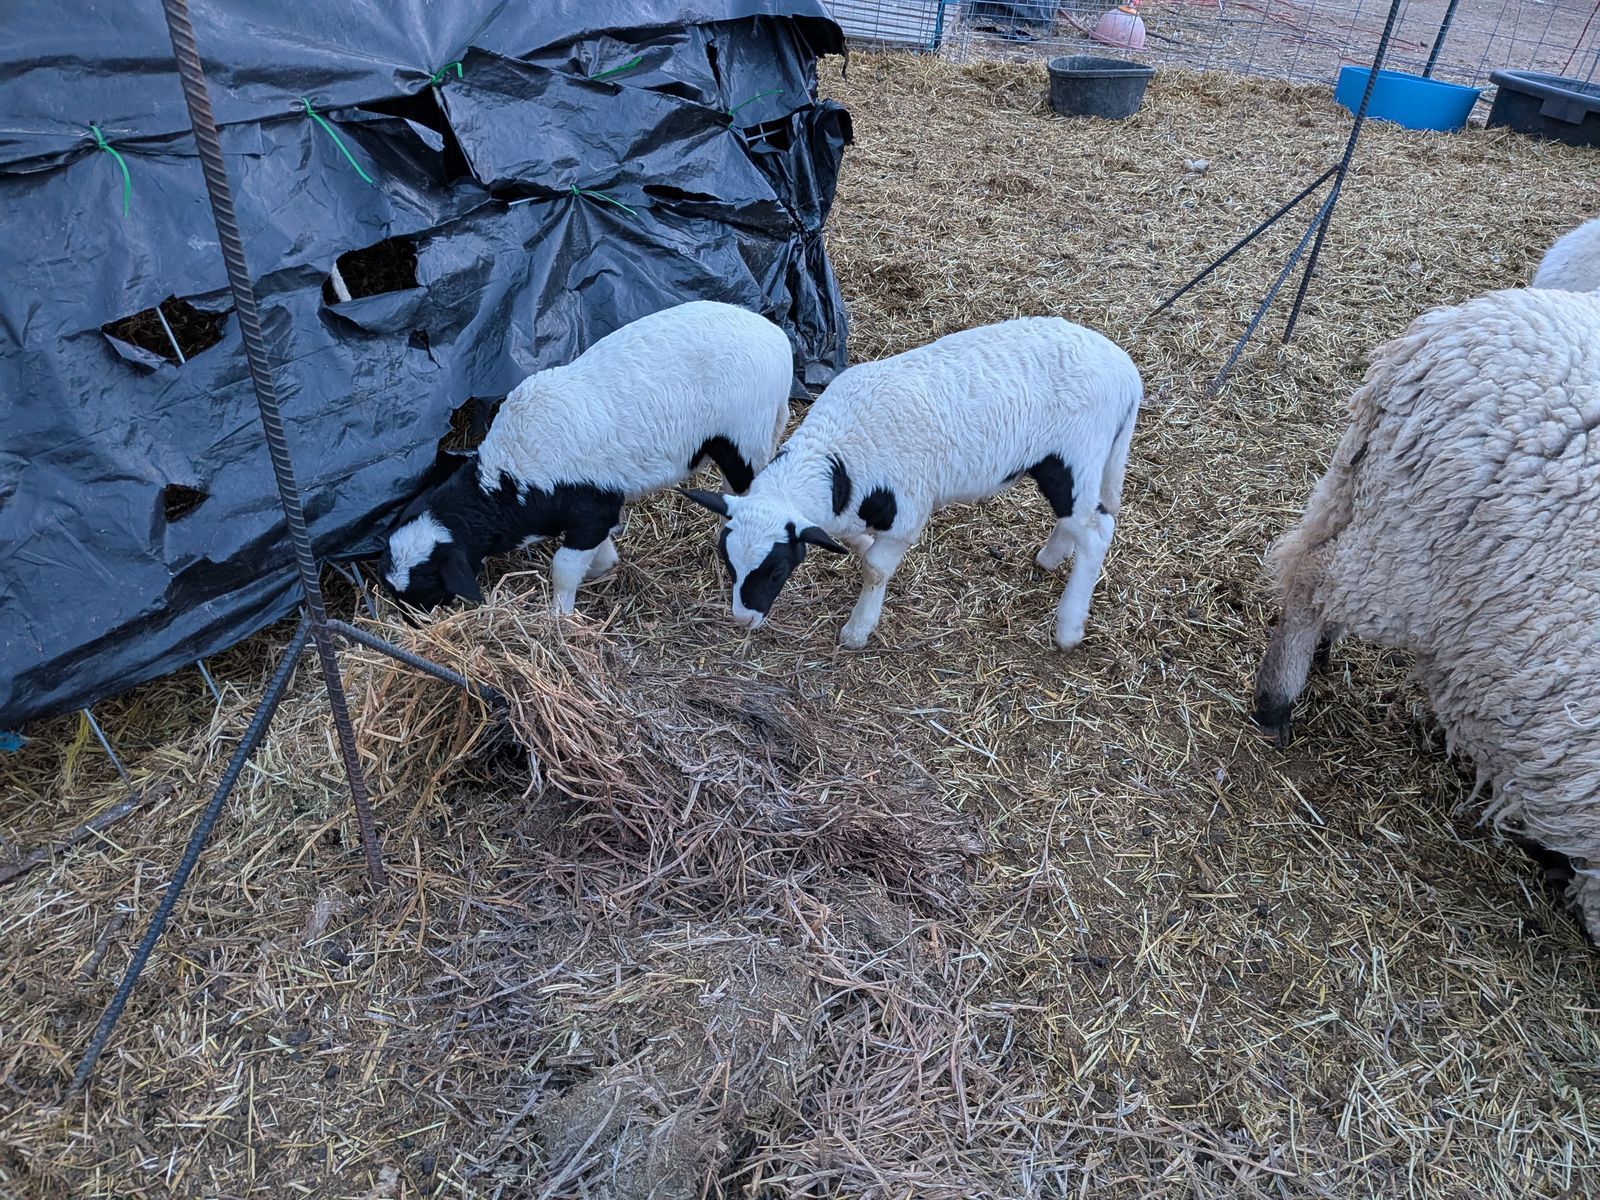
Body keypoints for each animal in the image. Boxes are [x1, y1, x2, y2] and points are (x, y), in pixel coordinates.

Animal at [380, 301, 793, 614]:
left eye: (426, 584)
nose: (416, 622)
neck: (513, 476)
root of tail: (778, 341)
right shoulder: (600, 510)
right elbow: (601, 546)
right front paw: (603, 566)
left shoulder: (589, 506)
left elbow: (563, 566)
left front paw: (559, 617)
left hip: (743, 439)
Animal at [681, 316, 1141, 650]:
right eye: (727, 560)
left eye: (776, 570)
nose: (743, 619)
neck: (835, 457)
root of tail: (1126, 373)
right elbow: (851, 540)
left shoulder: (907, 509)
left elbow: (875, 568)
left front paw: (857, 631)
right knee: (1077, 519)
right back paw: (1050, 558)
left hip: (1074, 458)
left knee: (1097, 531)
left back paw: (1068, 628)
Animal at [1253, 286, 1600, 938]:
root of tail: (1435, 337)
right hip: (1416, 561)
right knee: (1314, 576)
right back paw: (1275, 701)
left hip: (1371, 499)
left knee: (1310, 551)